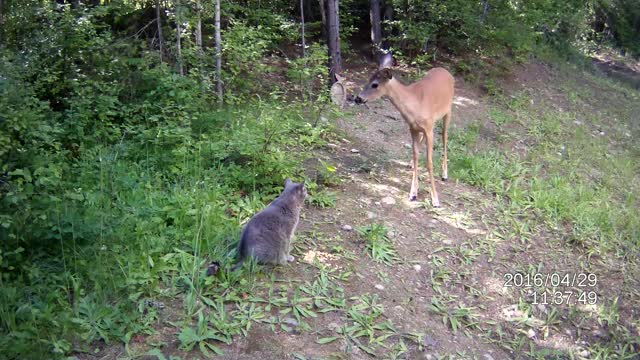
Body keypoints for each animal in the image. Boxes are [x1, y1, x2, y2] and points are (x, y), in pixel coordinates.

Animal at [356, 54, 456, 208]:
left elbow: (429, 162)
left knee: (445, 137)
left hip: (448, 111)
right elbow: (415, 156)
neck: (414, 104)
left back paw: (445, 174)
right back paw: (410, 164)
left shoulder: (429, 128)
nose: (358, 98)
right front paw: (413, 193)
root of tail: (446, 71)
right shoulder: (413, 128)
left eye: (375, 84)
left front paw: (435, 199)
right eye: (368, 79)